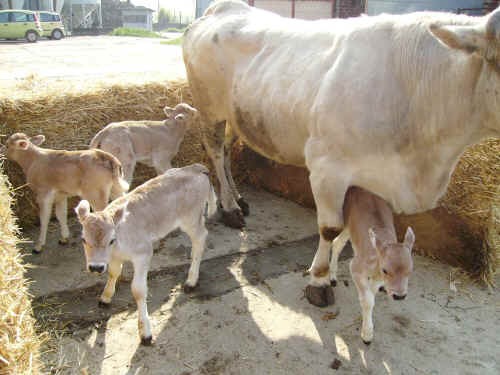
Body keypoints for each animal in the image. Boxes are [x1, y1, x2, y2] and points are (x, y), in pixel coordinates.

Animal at [0, 134, 129, 254]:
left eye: (7, 145)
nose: (1, 152)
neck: (33, 161)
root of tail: (106, 157)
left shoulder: (43, 194)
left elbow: (44, 218)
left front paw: (39, 245)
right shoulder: (60, 195)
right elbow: (61, 214)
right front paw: (64, 237)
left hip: (96, 194)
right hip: (115, 189)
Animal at [75, 163, 216, 346]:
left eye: (111, 240)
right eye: (83, 239)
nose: (96, 267)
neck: (119, 243)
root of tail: (196, 167)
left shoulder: (143, 253)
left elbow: (138, 290)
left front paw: (145, 333)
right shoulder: (114, 257)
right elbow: (114, 273)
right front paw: (105, 297)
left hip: (190, 219)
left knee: (200, 237)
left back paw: (191, 280)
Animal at [184, 0, 500, 308]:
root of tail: (222, 8)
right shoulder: (327, 169)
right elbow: (330, 229)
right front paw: (320, 281)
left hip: (236, 116)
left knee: (226, 150)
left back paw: (238, 197)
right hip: (209, 109)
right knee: (215, 151)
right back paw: (230, 207)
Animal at [324, 187, 414, 346]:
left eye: (410, 271)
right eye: (385, 270)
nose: (399, 296)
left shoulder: (377, 280)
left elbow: (371, 296)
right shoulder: (355, 267)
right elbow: (368, 300)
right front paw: (367, 335)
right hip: (347, 224)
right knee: (337, 242)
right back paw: (333, 277)